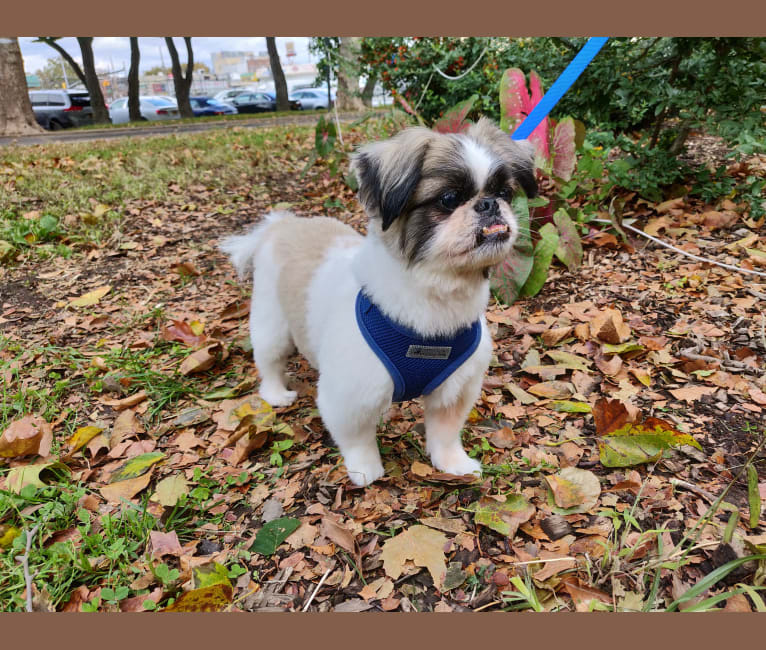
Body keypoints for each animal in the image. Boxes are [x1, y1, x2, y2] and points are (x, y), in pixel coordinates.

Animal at [219, 116, 536, 484]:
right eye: (449, 198)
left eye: (504, 193)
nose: (489, 204)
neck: (433, 303)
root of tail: (281, 225)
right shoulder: (348, 394)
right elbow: (357, 439)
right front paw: (365, 469)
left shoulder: (455, 390)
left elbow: (445, 434)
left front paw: (453, 463)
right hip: (272, 325)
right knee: (269, 360)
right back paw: (276, 394)